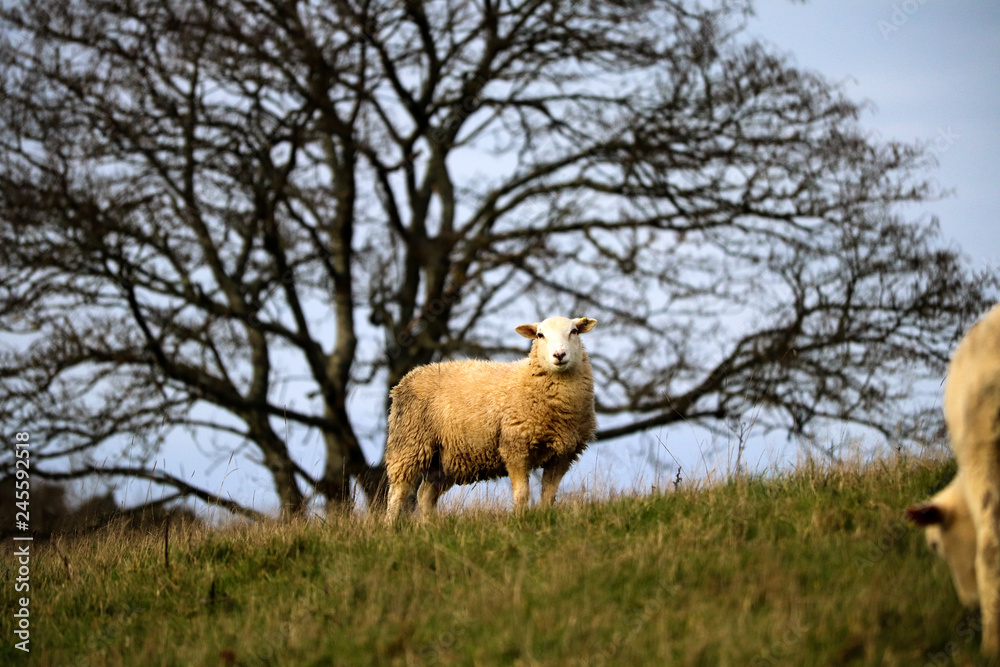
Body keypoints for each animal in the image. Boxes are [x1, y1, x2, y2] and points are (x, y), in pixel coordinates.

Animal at [384, 316, 598, 521]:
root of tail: (410, 375)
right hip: (409, 443)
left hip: (445, 460)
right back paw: (390, 526)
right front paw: (522, 520)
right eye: (540, 335)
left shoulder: (564, 453)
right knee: (397, 493)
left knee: (425, 495)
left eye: (574, 331)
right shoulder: (514, 447)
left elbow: (548, 494)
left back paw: (432, 526)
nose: (559, 355)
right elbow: (522, 494)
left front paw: (545, 517)